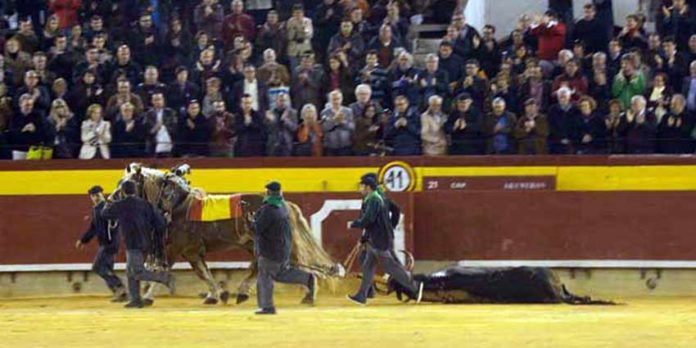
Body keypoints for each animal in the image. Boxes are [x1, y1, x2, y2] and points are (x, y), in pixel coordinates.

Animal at [118, 163, 342, 304]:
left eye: (128, 183)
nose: (114, 198)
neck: (175, 204)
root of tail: (286, 203)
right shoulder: (191, 252)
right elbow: (204, 272)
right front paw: (215, 295)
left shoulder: (178, 249)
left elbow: (168, 273)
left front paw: (147, 297)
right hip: (252, 245)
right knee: (259, 265)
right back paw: (243, 293)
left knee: (299, 266)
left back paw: (308, 293)